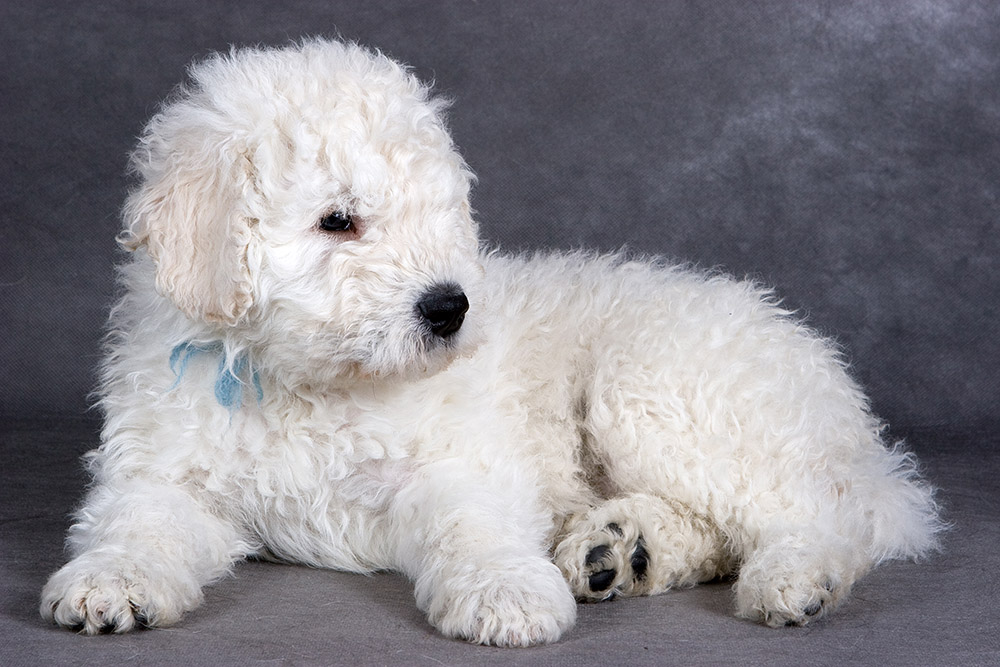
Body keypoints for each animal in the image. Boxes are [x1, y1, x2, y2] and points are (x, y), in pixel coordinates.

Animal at [41, 37, 936, 648]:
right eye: (339, 220)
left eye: (439, 213)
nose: (449, 308)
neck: (306, 383)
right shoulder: (163, 473)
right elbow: (138, 524)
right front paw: (108, 583)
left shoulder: (457, 463)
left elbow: (471, 527)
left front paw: (508, 594)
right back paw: (622, 551)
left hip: (653, 389)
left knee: (828, 512)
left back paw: (793, 576)